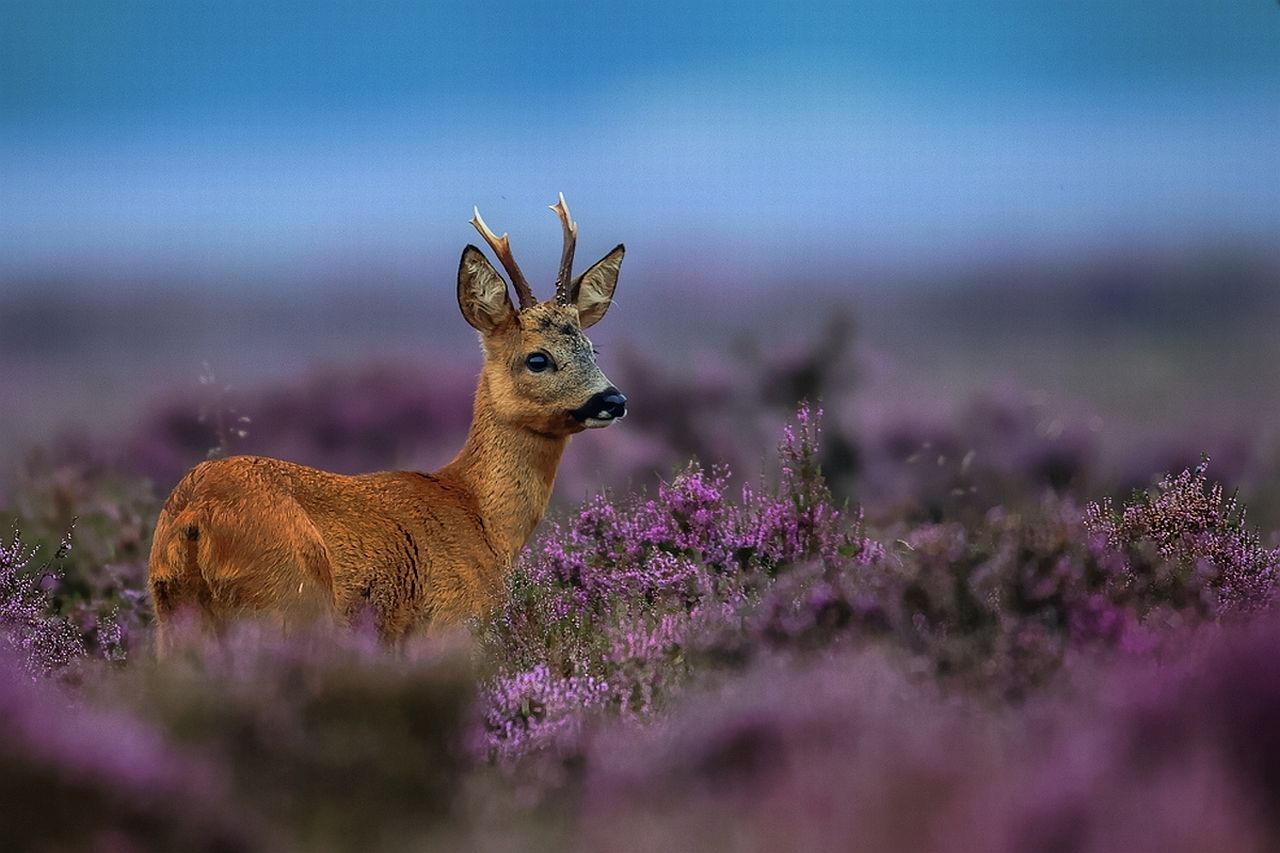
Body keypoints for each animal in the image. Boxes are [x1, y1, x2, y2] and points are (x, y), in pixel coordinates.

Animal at [147, 194, 626, 649]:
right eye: (538, 358)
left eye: (593, 349)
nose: (613, 399)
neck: (481, 516)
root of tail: (196, 515)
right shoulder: (452, 617)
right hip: (286, 599)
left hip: (173, 611)